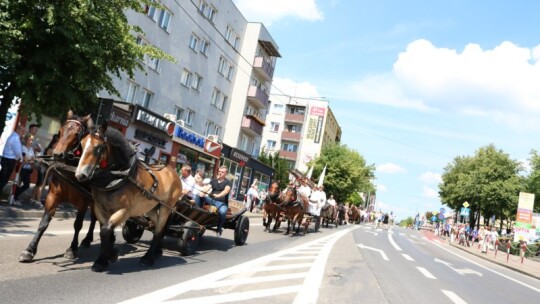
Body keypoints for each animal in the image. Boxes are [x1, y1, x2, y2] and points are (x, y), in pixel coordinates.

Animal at [18, 113, 98, 262]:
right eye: (61, 131)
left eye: (77, 134)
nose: (57, 154)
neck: (69, 169)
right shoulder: (53, 196)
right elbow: (44, 223)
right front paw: (29, 250)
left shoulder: (83, 202)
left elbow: (78, 224)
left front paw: (72, 249)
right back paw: (88, 240)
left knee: (96, 218)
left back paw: (88, 239)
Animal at [73, 123, 182, 274]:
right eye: (82, 145)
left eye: (98, 148)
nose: (80, 175)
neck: (118, 175)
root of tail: (174, 173)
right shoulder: (100, 210)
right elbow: (105, 231)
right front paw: (109, 256)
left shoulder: (124, 211)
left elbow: (105, 230)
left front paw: (101, 261)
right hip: (151, 208)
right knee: (157, 227)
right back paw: (158, 251)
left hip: (166, 207)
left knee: (159, 231)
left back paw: (147, 258)